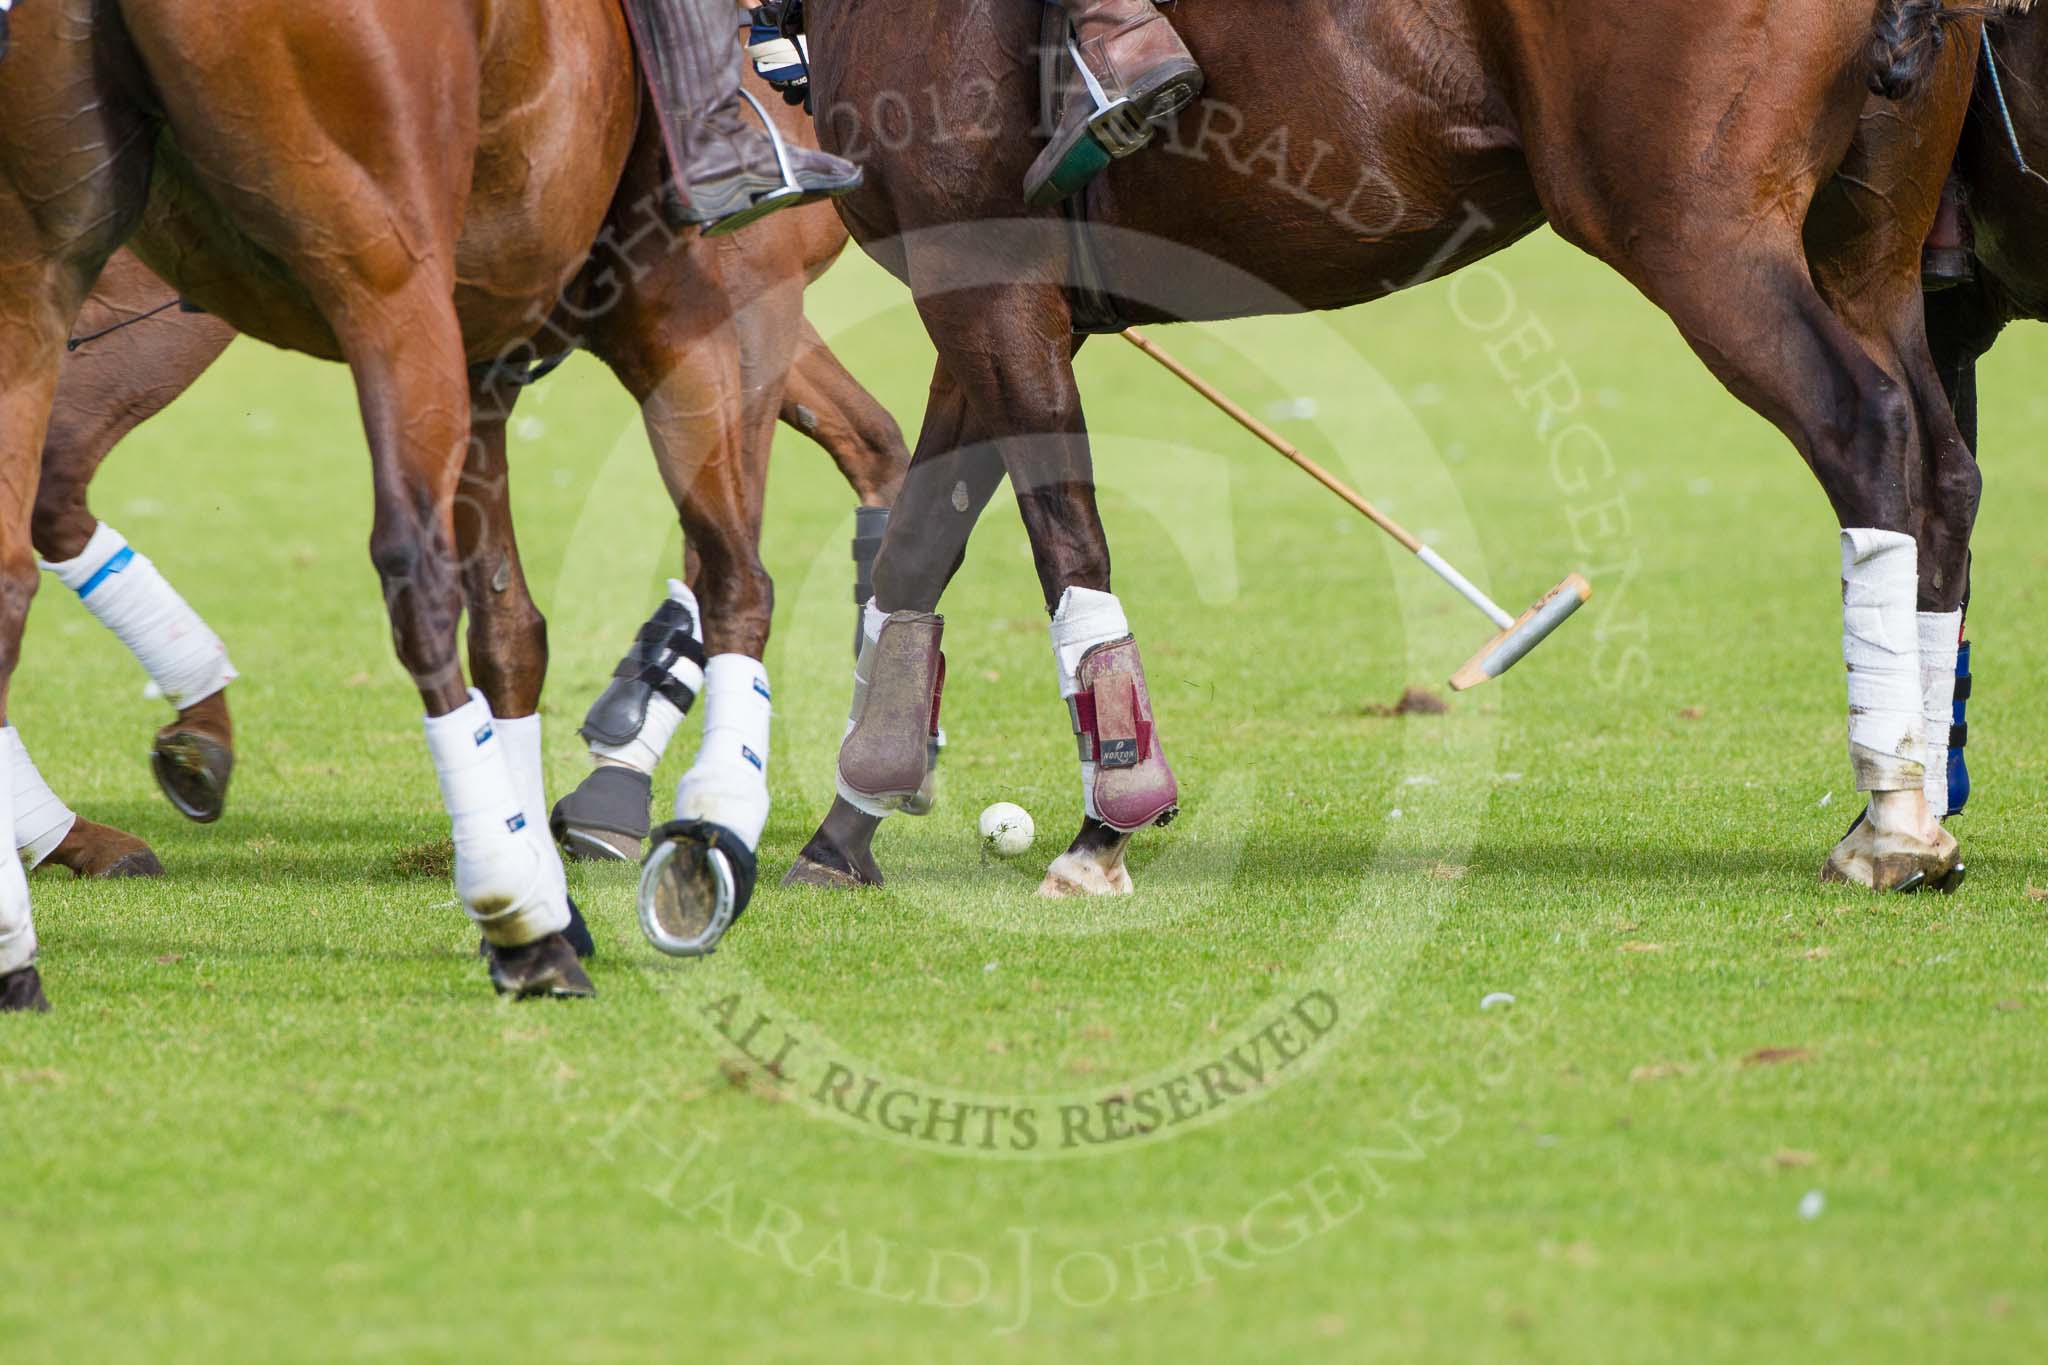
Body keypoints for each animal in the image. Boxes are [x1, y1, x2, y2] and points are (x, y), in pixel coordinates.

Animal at [0, 0, 888, 1002]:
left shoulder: (491, 352)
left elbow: (514, 630)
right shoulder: (704, 309)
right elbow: (736, 573)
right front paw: (702, 836)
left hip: (48, 274)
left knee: (18, 550)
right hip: (360, 290)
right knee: (405, 571)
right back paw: (517, 920)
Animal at [786, 0, 1998, 900]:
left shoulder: (983, 278)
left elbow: (1062, 541)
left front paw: (1105, 826)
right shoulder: (991, 296)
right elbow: (917, 552)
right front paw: (843, 829)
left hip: (1697, 233)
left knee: (1863, 428)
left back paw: (1894, 826)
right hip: (1868, 240)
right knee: (1942, 467)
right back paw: (1902, 806)